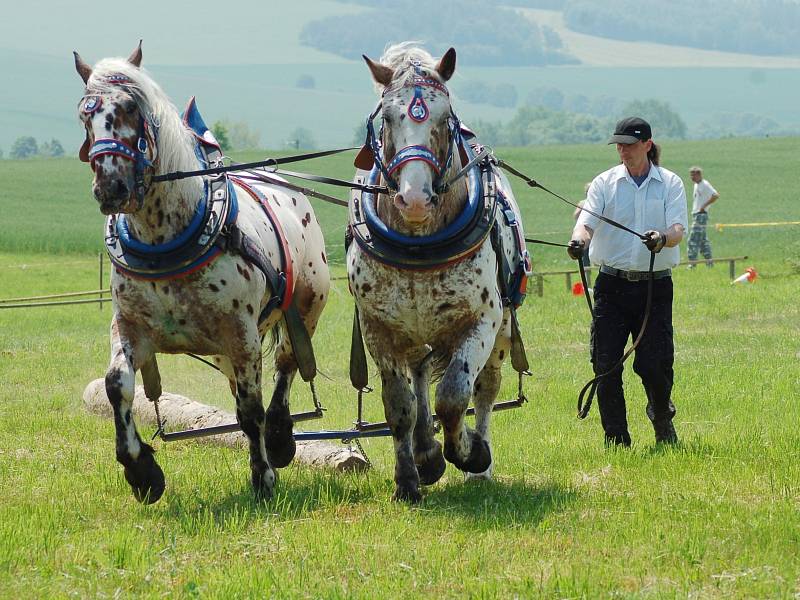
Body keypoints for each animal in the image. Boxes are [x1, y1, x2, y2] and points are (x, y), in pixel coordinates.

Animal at [72, 42, 328, 502]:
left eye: (131, 108)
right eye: (85, 114)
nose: (110, 188)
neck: (165, 240)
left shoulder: (241, 334)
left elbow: (251, 410)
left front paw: (263, 476)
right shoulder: (130, 326)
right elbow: (117, 384)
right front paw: (141, 470)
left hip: (306, 306)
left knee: (284, 366)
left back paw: (280, 437)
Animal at [348, 43, 532, 502]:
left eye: (444, 117)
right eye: (387, 117)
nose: (415, 199)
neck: (419, 244)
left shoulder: (480, 322)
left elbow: (454, 396)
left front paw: (471, 453)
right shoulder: (379, 330)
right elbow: (400, 406)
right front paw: (409, 479)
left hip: (500, 333)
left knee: (485, 389)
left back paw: (476, 464)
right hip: (415, 334)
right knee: (418, 380)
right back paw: (426, 452)